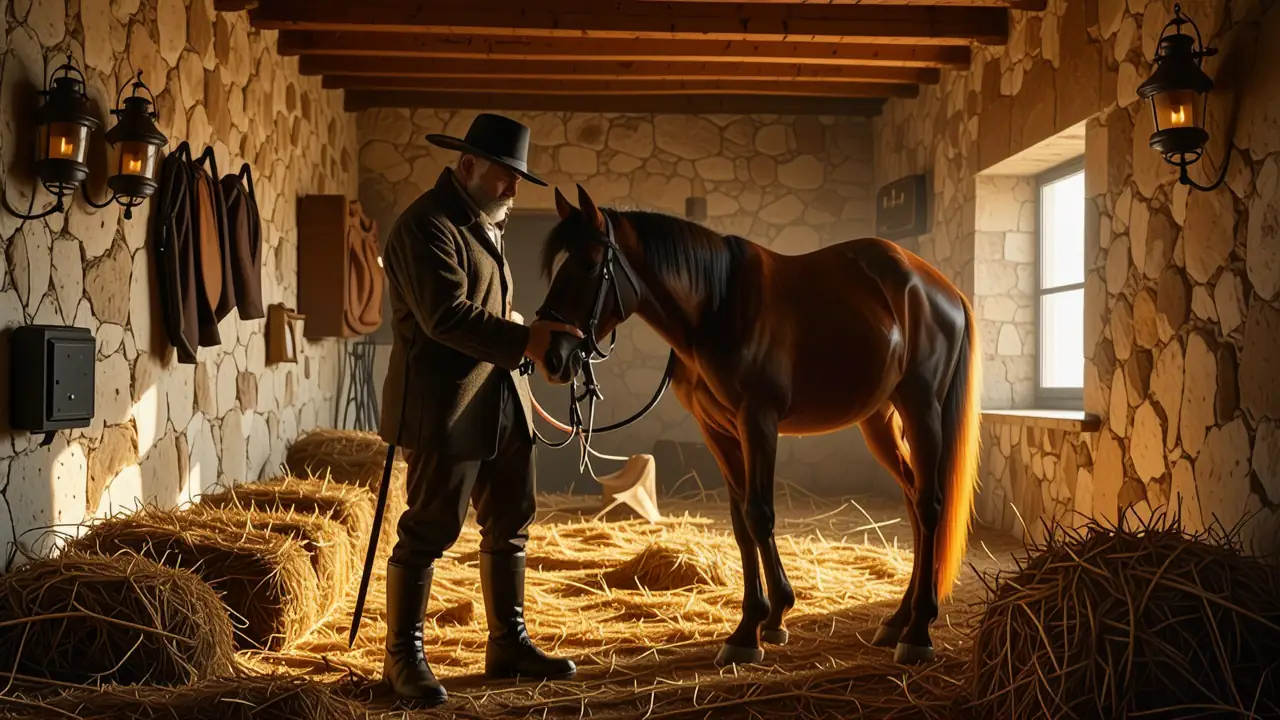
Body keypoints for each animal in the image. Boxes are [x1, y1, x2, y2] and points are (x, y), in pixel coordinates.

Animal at [533, 185, 982, 667]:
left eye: (589, 265)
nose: (552, 357)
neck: (716, 305)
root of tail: (942, 290)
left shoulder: (758, 421)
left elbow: (759, 514)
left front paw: (757, 627)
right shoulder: (718, 431)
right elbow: (740, 523)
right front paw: (762, 620)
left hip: (922, 408)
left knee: (930, 505)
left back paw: (918, 630)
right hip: (880, 421)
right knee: (914, 502)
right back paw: (898, 619)